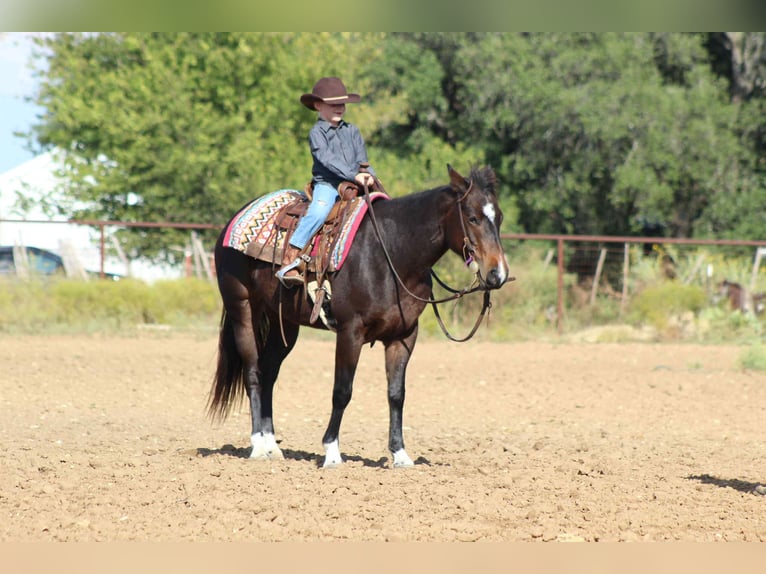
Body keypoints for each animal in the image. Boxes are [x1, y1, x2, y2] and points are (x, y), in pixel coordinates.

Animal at [207, 164, 511, 468]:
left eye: (499, 217)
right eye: (472, 217)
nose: (498, 274)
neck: (391, 254)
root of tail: (234, 219)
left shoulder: (404, 336)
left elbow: (396, 393)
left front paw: (400, 454)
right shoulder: (350, 333)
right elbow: (342, 391)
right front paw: (331, 452)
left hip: (286, 324)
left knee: (269, 373)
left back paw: (272, 446)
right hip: (243, 309)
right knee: (253, 372)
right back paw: (258, 446)